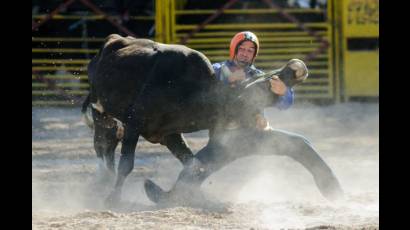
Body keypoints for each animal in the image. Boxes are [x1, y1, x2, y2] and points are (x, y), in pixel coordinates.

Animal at [81, 34, 342, 205]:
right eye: (262, 89)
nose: (297, 66)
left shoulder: (168, 133)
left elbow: (194, 163)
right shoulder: (135, 121)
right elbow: (127, 163)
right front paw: (113, 198)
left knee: (108, 145)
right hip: (101, 113)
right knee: (104, 145)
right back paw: (102, 183)